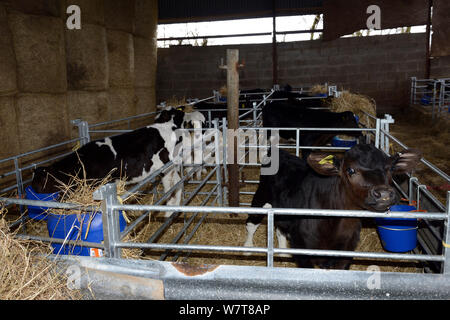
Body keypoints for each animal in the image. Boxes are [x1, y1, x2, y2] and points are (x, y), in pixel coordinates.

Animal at [244, 144, 420, 268]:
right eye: (350, 170)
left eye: (390, 169)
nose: (383, 194)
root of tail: (280, 153)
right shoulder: (302, 249)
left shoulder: (346, 253)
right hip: (261, 197)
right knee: (251, 223)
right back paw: (248, 248)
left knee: (280, 227)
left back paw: (283, 252)